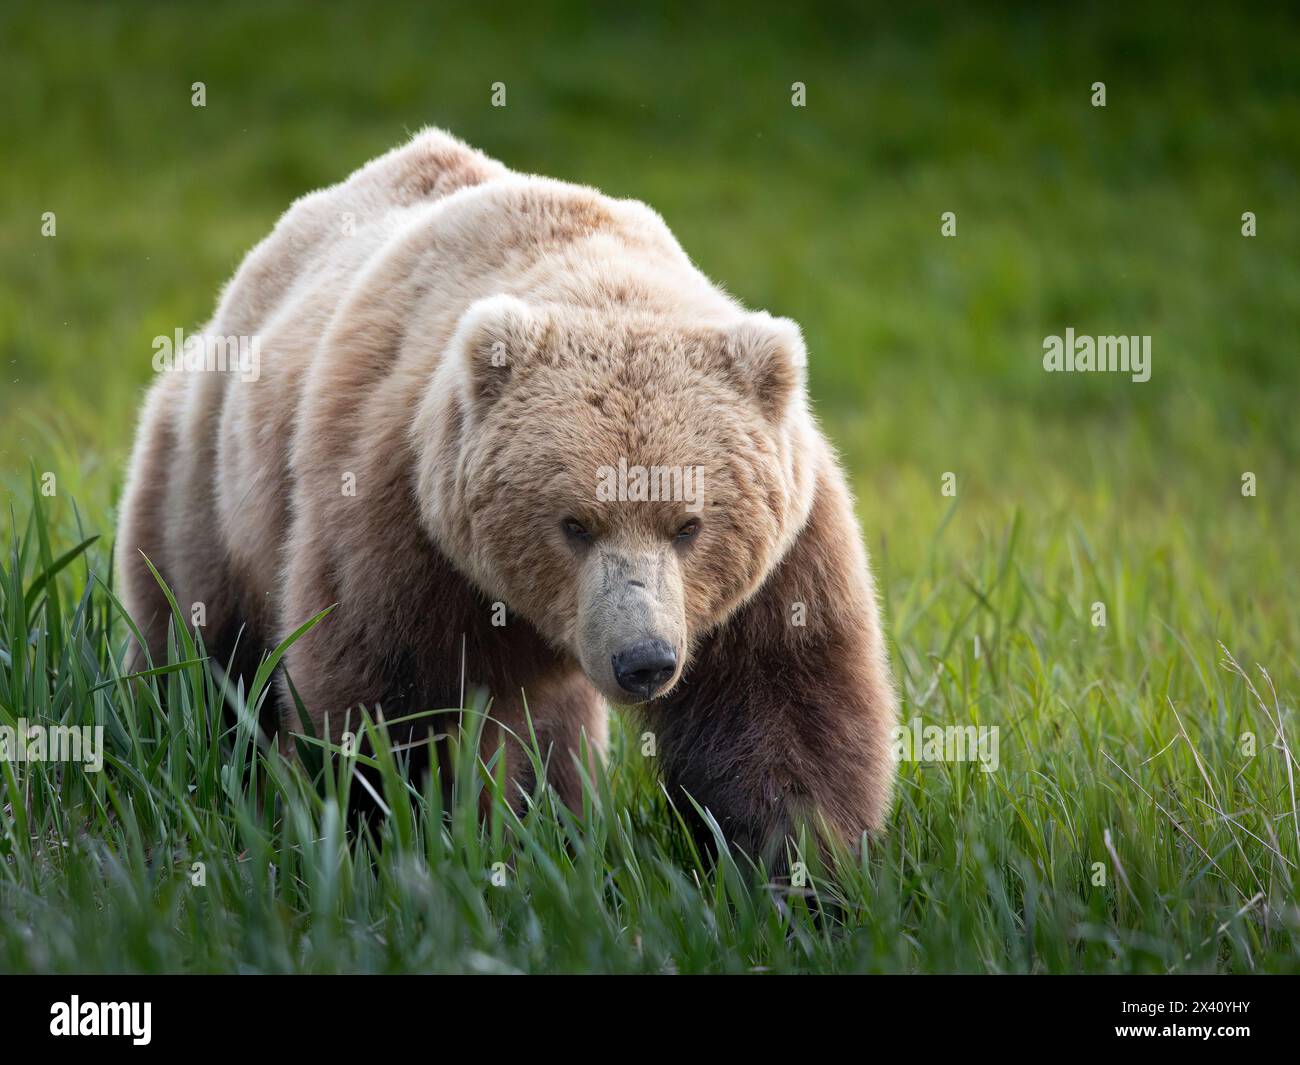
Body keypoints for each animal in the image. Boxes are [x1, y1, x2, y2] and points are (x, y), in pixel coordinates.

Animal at [119, 126, 894, 858]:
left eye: (689, 525)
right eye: (575, 524)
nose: (643, 659)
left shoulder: (783, 555)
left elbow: (783, 707)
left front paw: (800, 863)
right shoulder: (401, 520)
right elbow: (386, 699)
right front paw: (395, 830)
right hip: (207, 482)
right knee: (201, 647)